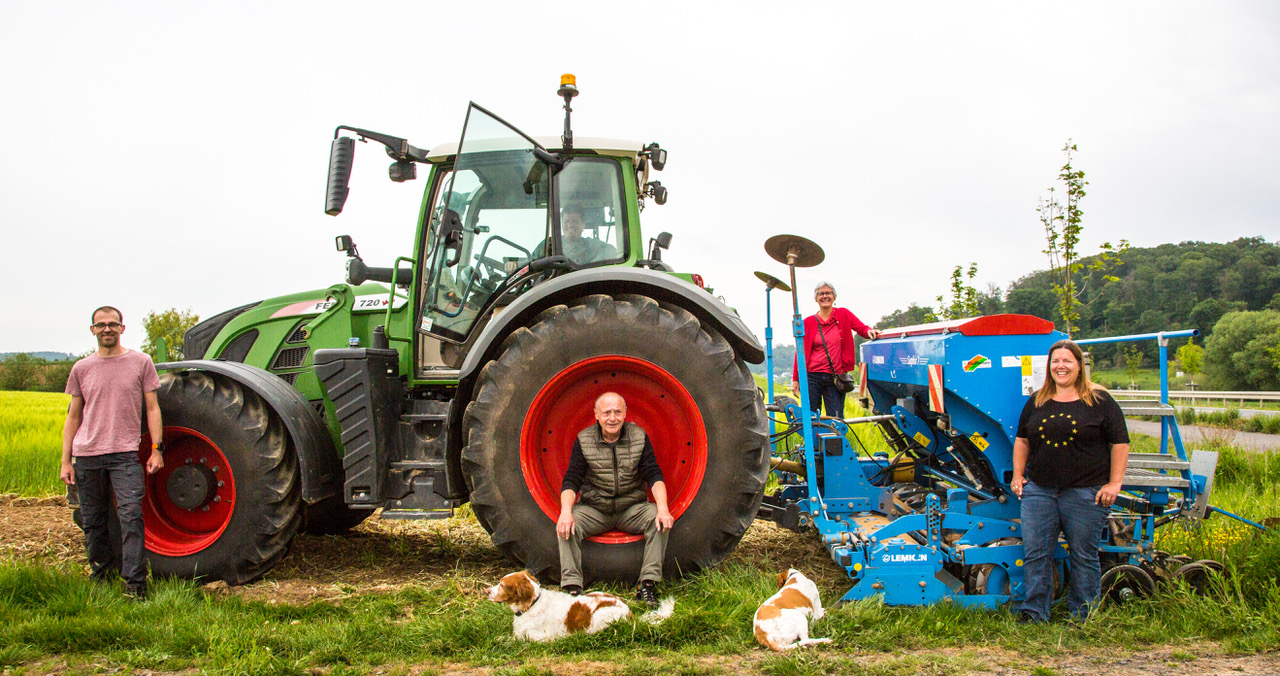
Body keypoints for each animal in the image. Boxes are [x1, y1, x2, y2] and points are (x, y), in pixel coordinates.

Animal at [483, 571, 675, 640]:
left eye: (502, 585)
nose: (486, 591)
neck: (532, 605)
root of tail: (630, 613)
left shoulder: (540, 637)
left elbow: (515, 639)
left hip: (599, 617)